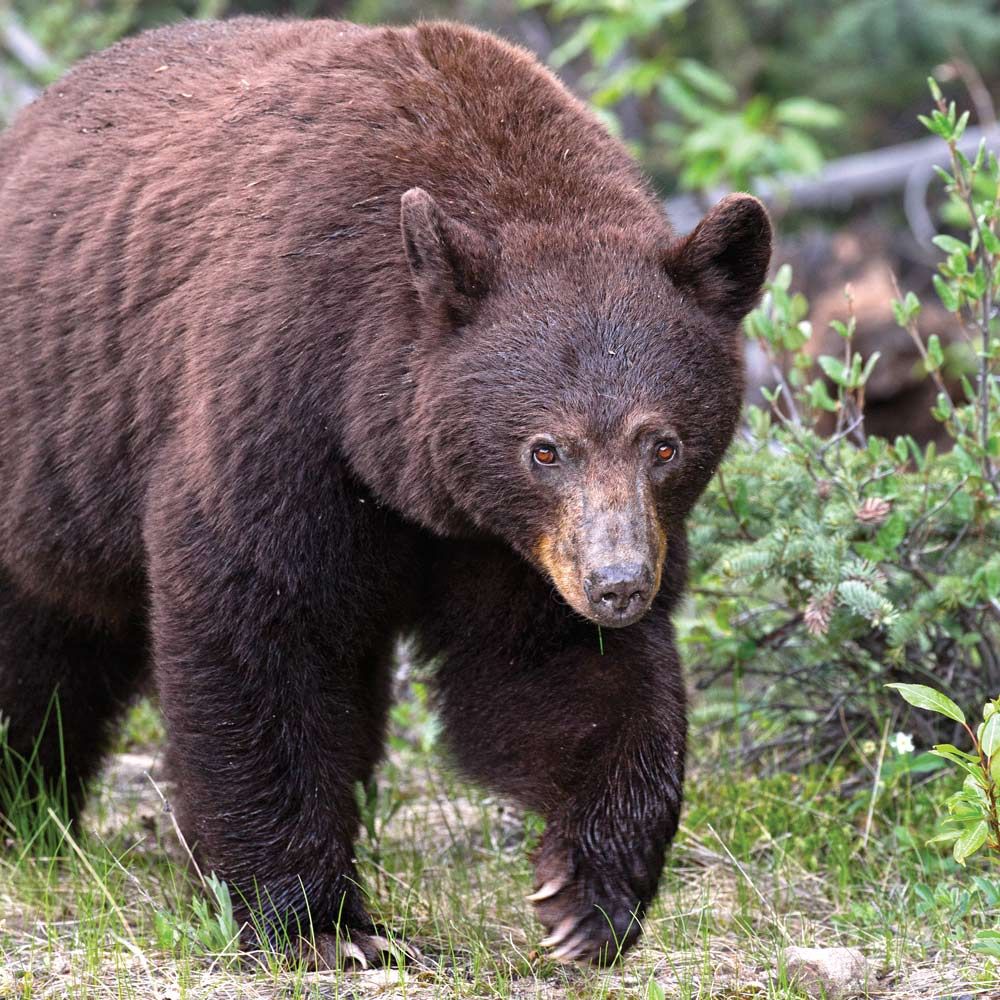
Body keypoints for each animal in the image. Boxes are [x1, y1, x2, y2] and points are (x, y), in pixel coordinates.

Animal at [0, 17, 771, 966]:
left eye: (664, 444)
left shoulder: (504, 540)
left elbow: (551, 669)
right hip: (52, 449)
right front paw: (316, 923)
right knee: (41, 639)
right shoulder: (279, 409)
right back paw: (28, 810)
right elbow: (258, 629)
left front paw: (587, 897)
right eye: (543, 449)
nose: (618, 586)